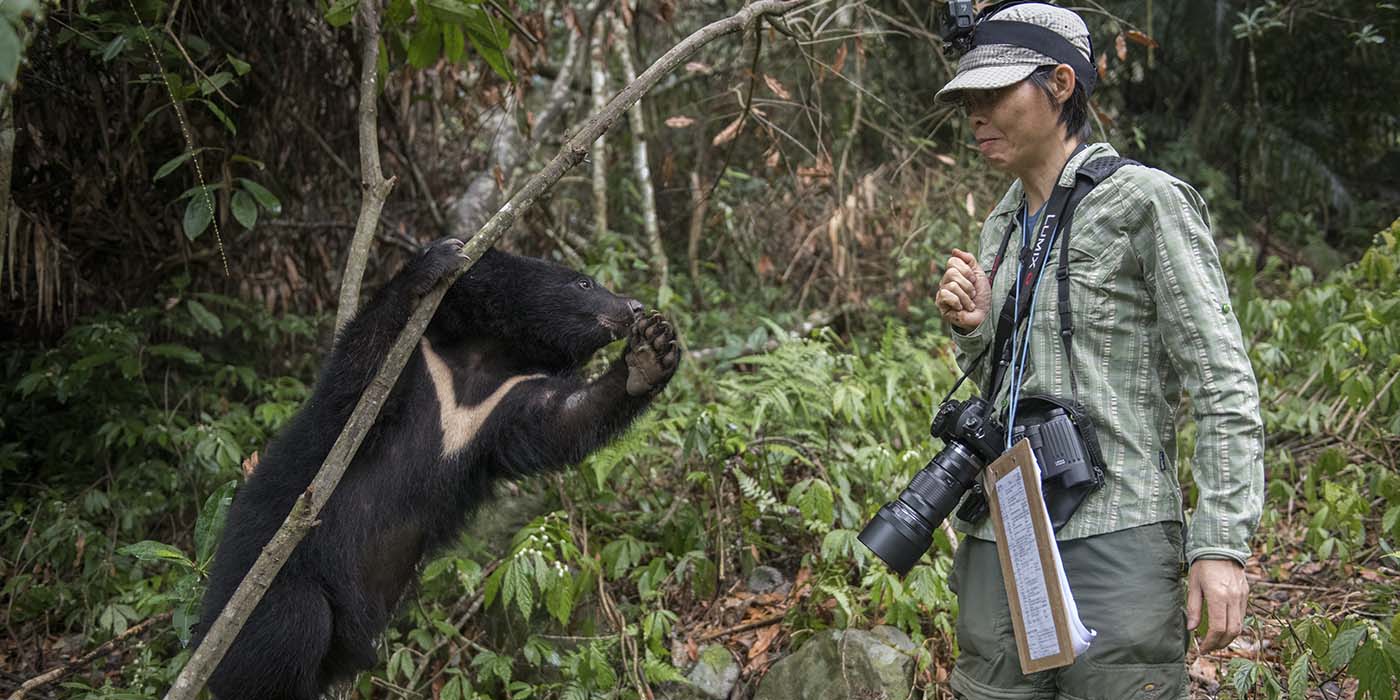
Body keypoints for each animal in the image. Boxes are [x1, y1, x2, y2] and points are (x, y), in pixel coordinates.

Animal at [196, 238, 677, 697]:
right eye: (583, 283)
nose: (635, 307)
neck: (482, 360)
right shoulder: (414, 370)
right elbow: (363, 379)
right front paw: (433, 262)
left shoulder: (504, 404)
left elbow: (563, 419)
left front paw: (651, 354)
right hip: (266, 588)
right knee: (294, 622)